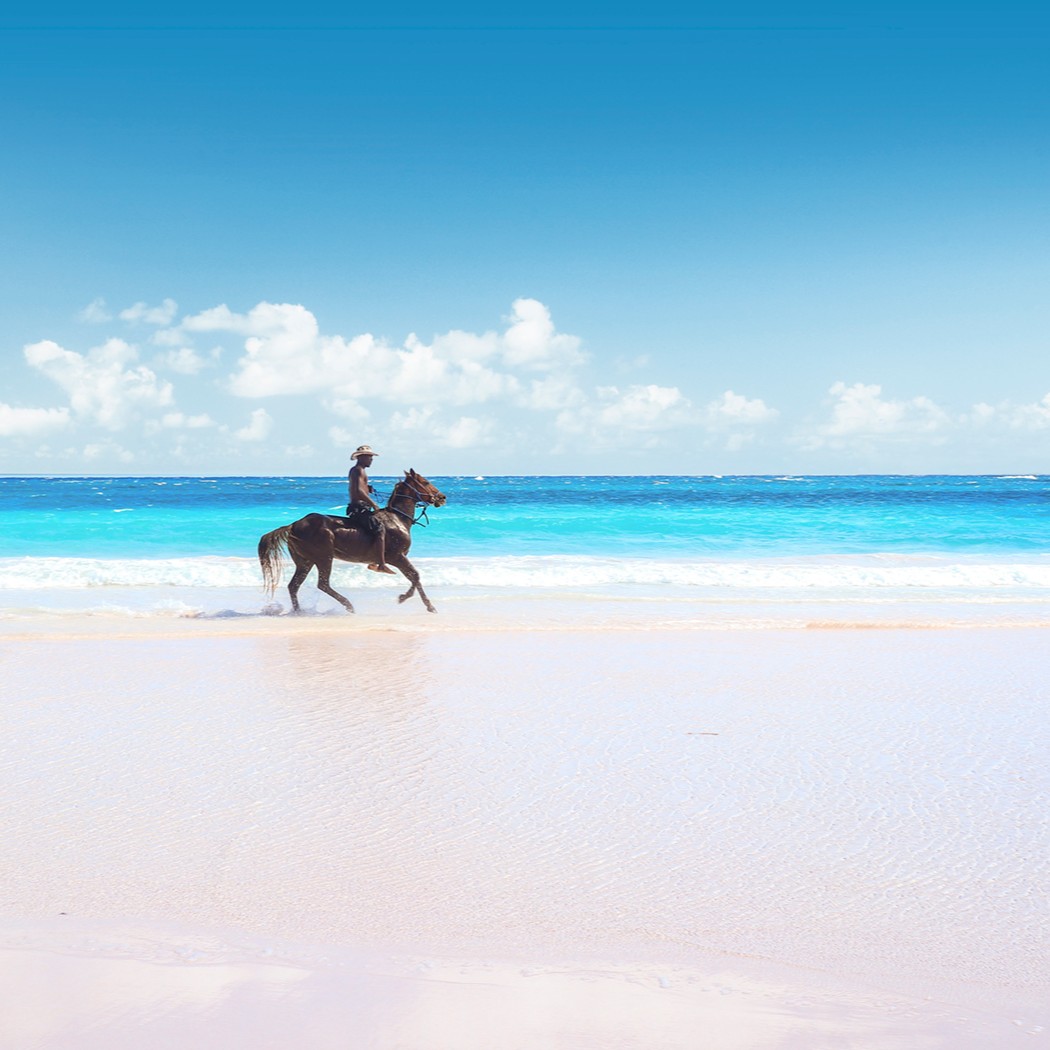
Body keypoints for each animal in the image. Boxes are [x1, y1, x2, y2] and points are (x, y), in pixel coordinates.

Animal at [258, 469, 447, 614]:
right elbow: (415, 575)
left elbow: (414, 577)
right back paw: (348, 606)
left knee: (294, 586)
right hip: (323, 558)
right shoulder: (397, 557)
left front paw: (421, 603)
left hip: (305, 561)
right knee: (323, 584)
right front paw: (412, 601)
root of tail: (294, 525)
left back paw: (299, 612)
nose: (442, 497)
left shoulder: (400, 558)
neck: (398, 519)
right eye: (426, 482)